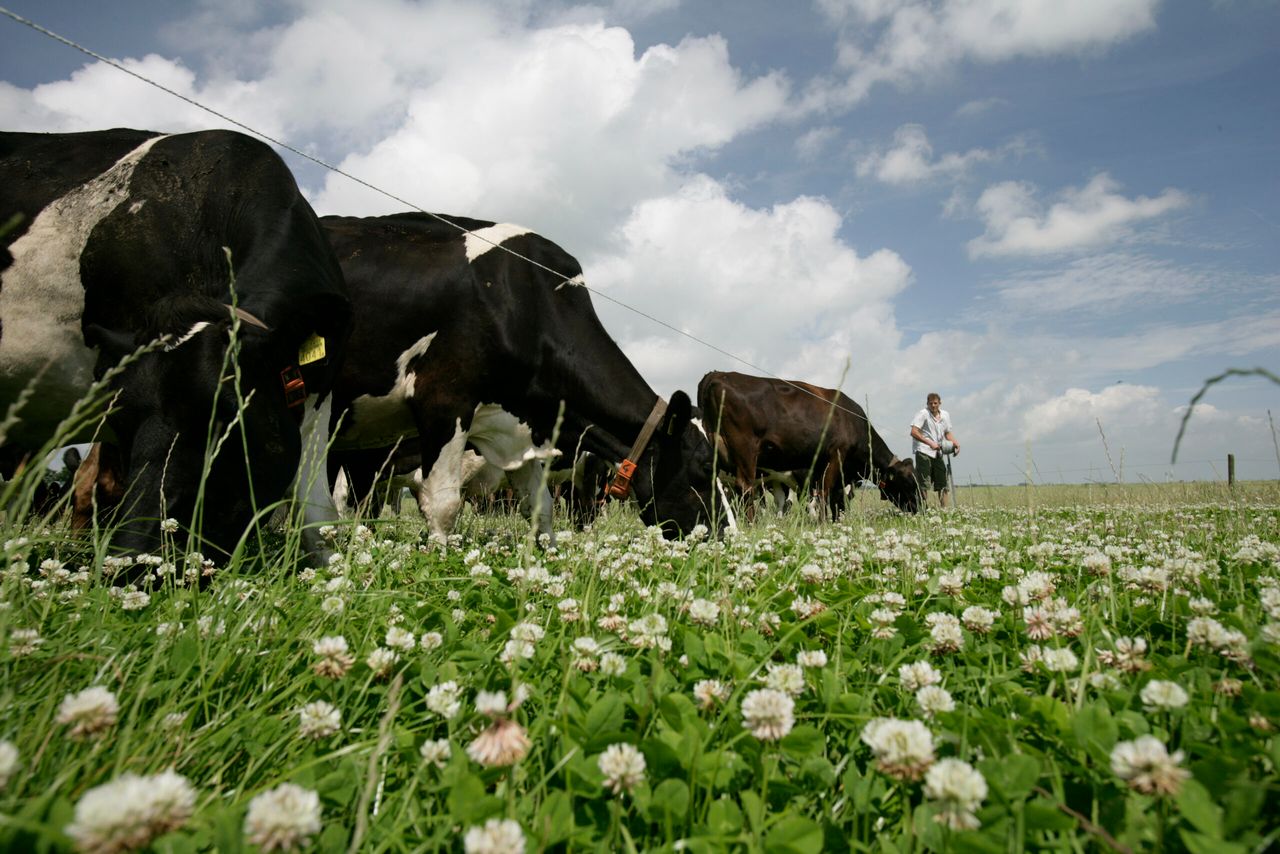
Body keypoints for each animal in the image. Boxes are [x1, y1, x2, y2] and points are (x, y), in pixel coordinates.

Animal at [320, 211, 721, 537]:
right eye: (705, 468)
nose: (720, 536)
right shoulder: (444, 400)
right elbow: (443, 506)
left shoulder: (519, 431)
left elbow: (541, 510)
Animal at [701, 371, 921, 517]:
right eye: (908, 482)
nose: (922, 508)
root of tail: (717, 375)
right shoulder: (835, 456)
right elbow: (823, 494)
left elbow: (832, 497)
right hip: (745, 450)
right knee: (745, 487)